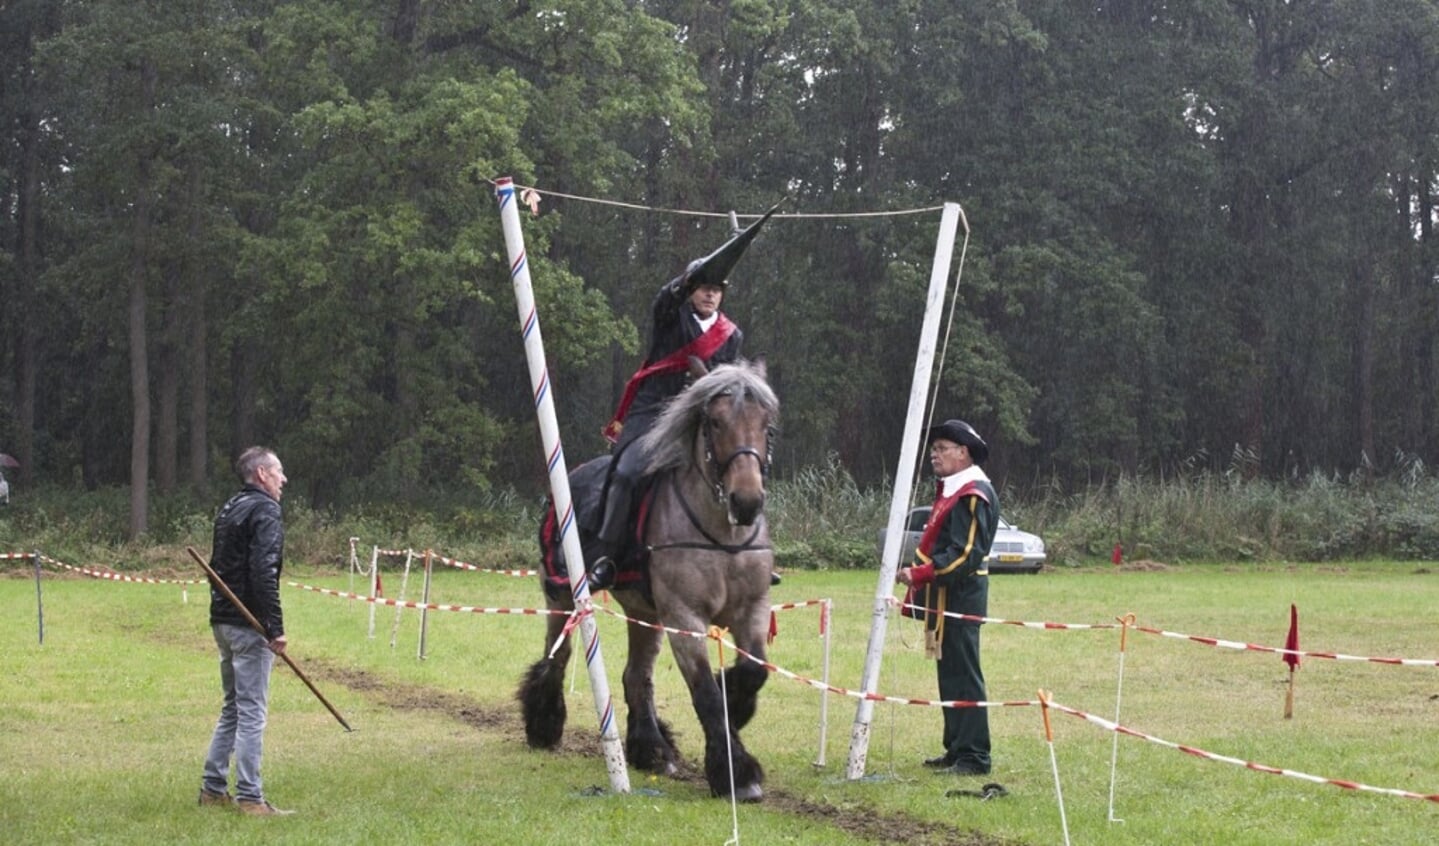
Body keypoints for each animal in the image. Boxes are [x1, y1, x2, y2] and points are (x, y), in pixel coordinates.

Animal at [523, 356, 782, 799]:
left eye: (766, 424)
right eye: (714, 422)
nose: (746, 502)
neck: (721, 537)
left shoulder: (751, 610)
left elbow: (753, 671)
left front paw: (735, 703)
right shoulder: (685, 618)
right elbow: (706, 694)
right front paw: (736, 772)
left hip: (645, 614)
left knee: (636, 676)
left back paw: (652, 747)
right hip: (562, 596)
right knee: (558, 655)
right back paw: (544, 722)